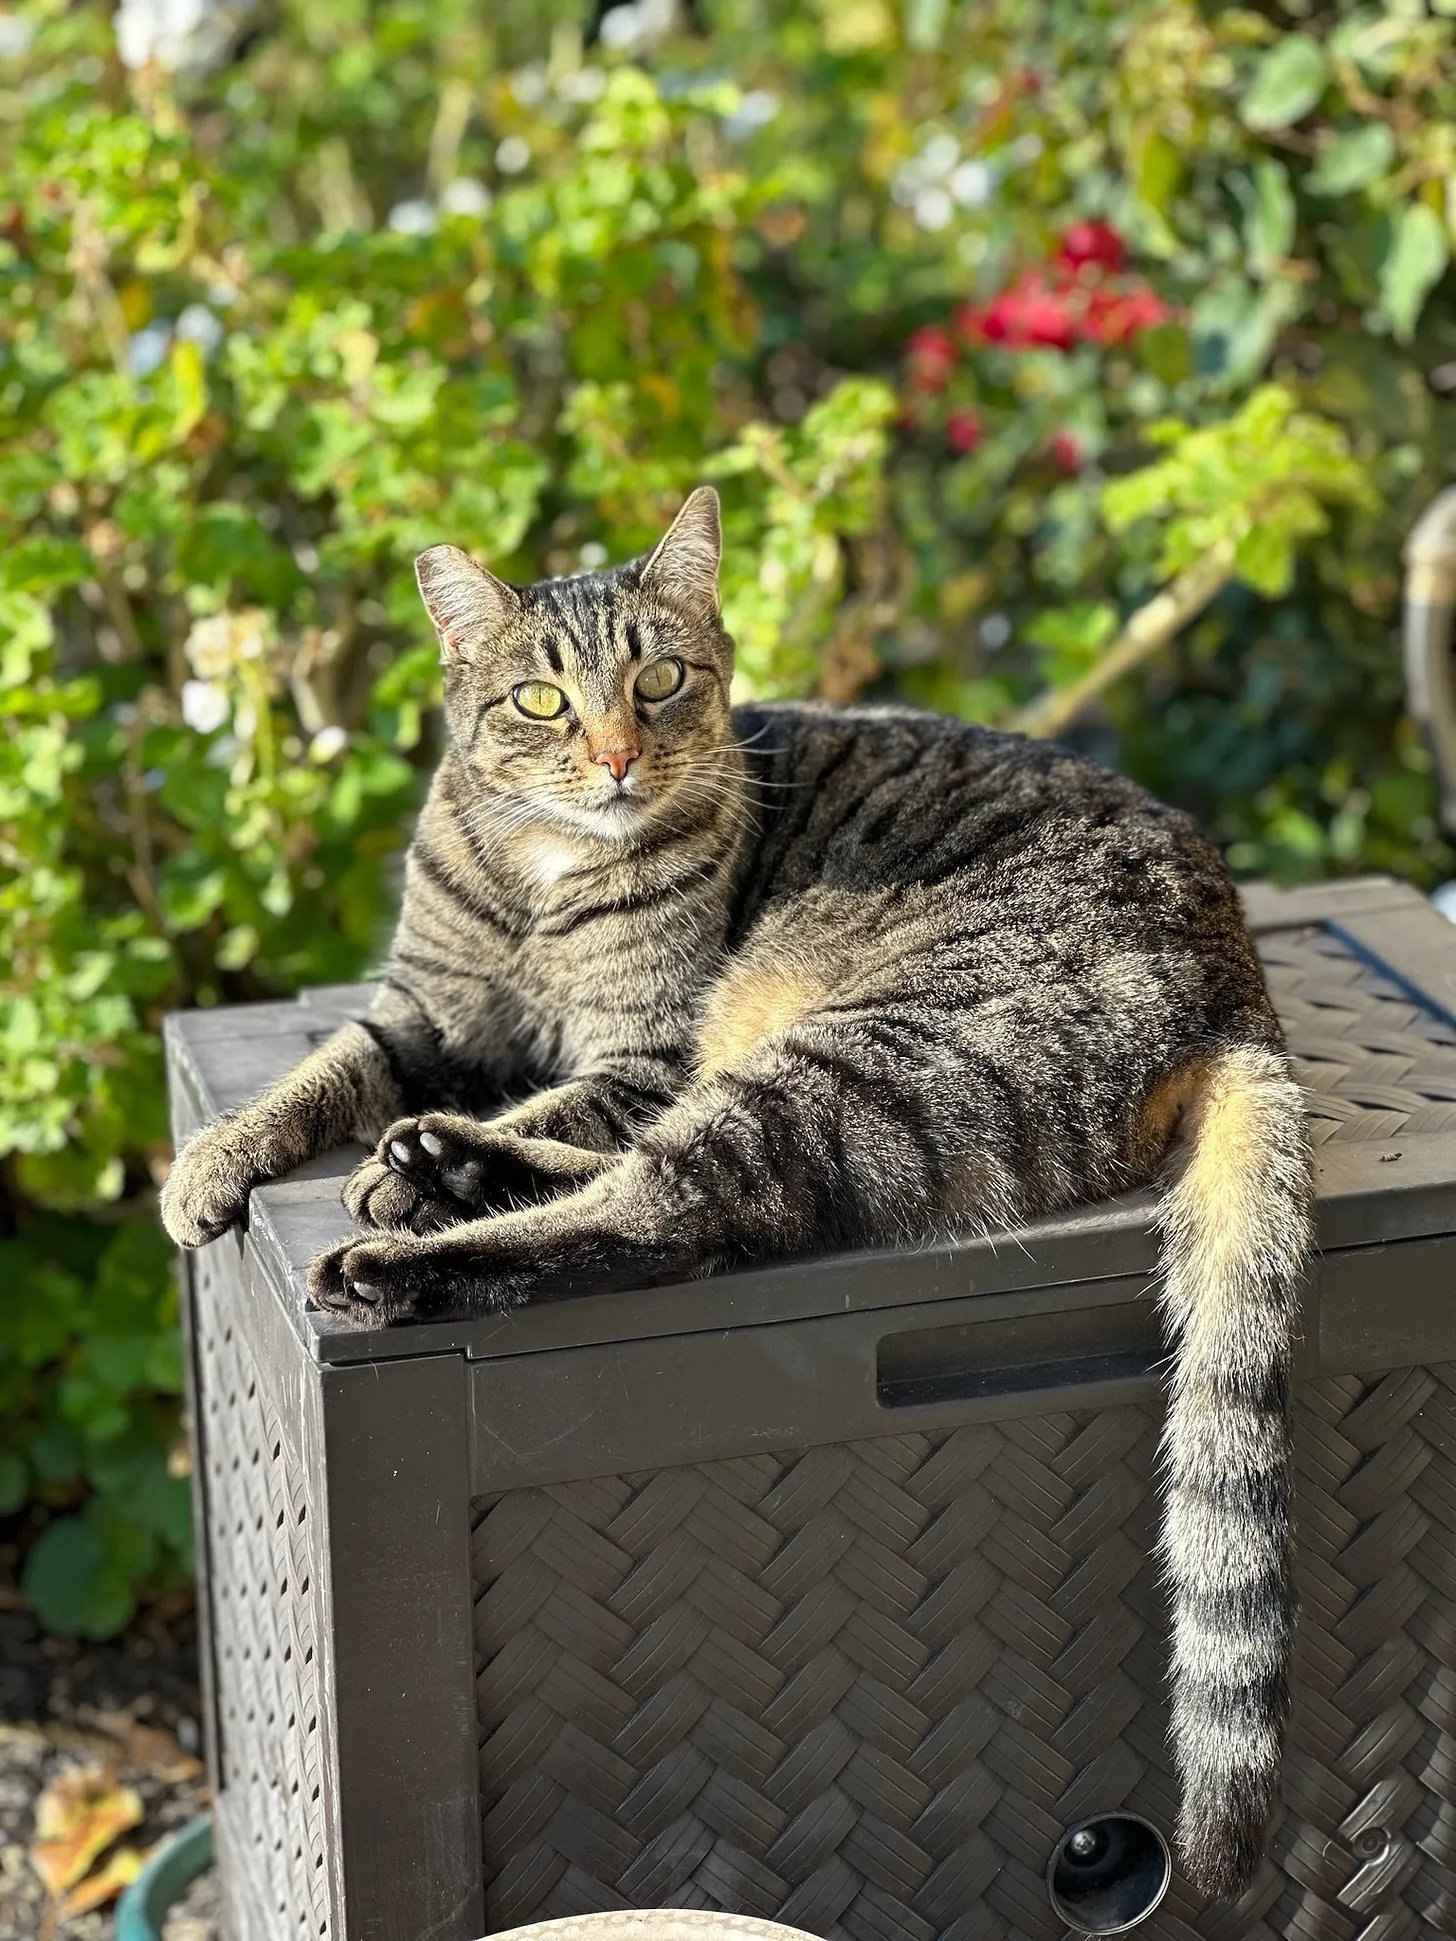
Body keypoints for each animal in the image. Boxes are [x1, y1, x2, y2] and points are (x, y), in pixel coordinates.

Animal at [165, 485, 1320, 1894]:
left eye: (658, 681)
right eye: (541, 701)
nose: (616, 758)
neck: (542, 875)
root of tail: (1239, 996)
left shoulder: (643, 1052)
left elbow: (564, 1108)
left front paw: (409, 1171)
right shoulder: (421, 1014)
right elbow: (315, 1073)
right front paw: (208, 1163)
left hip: (845, 1053)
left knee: (675, 1205)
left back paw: (415, 1228)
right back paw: (438, 1169)